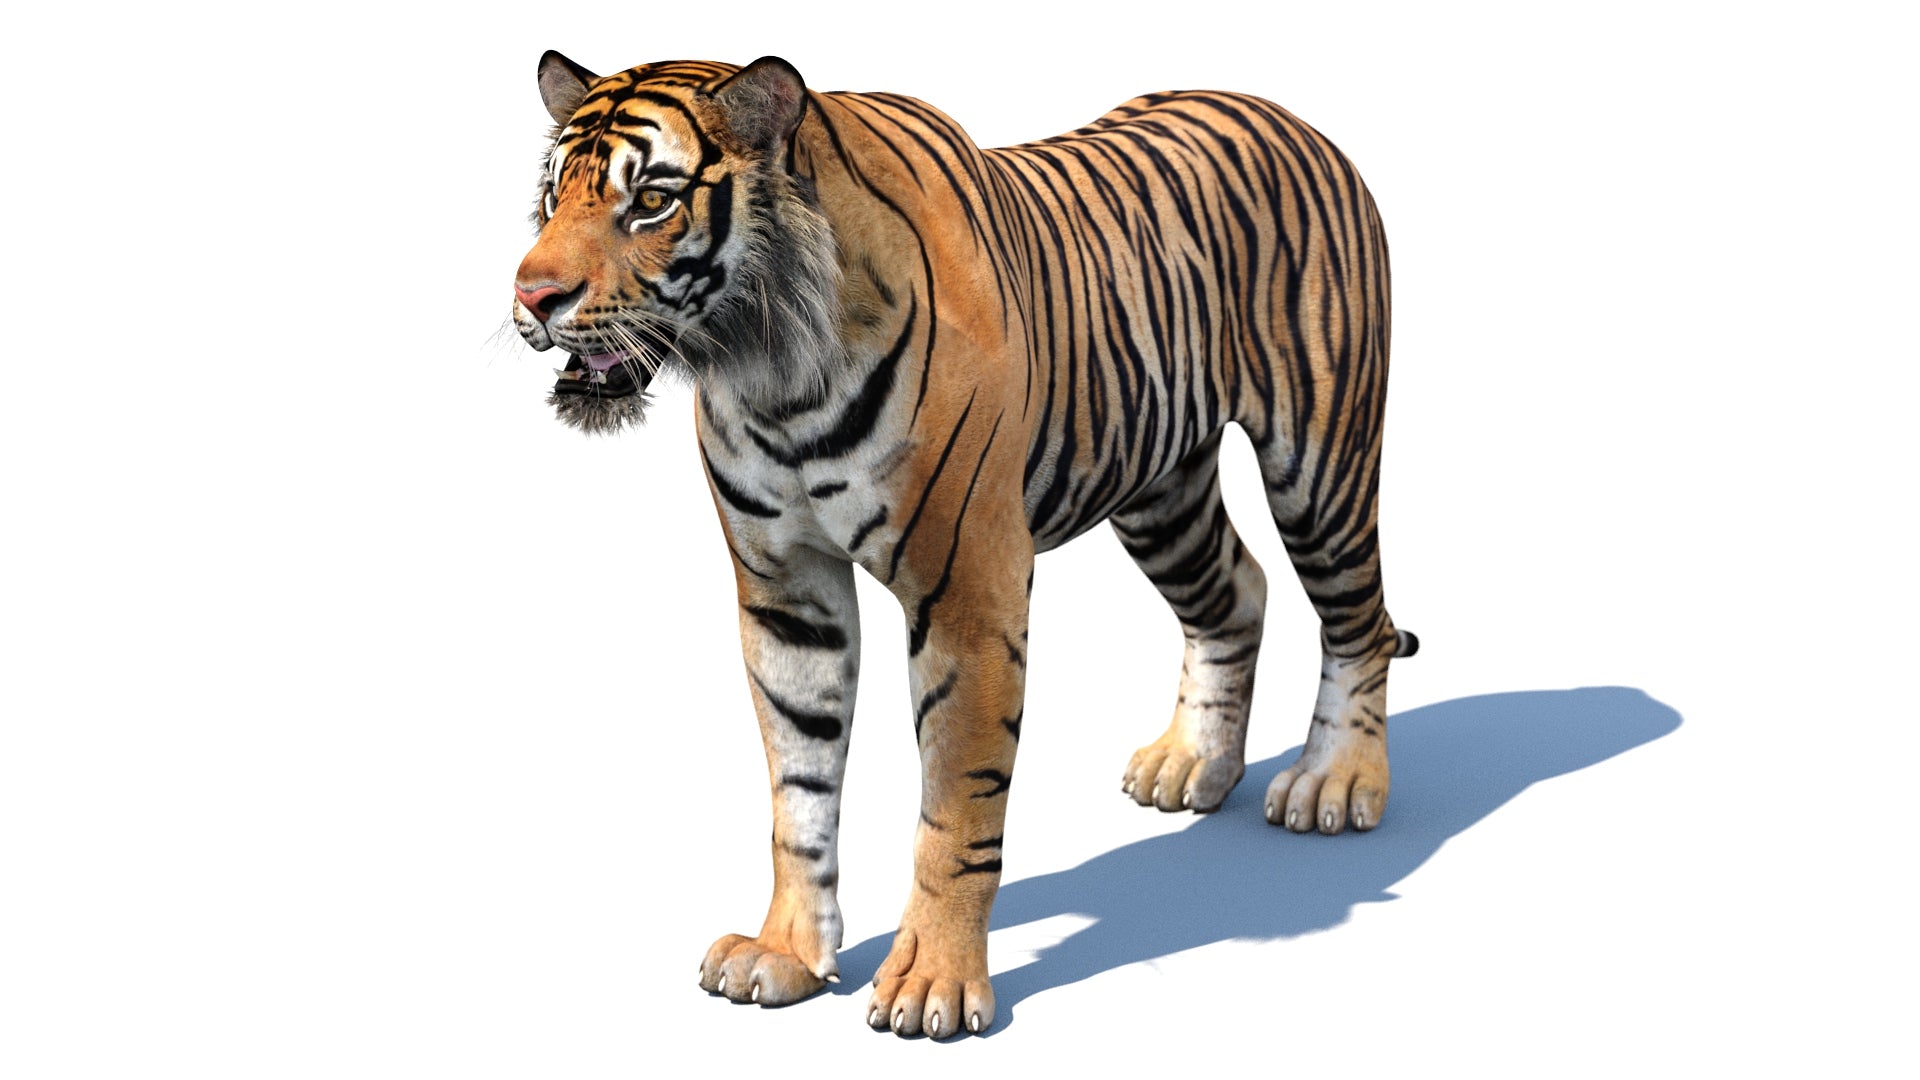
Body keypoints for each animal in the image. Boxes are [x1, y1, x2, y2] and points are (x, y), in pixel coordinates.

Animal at [510, 52, 1417, 1038]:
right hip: (1158, 486)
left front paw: (932, 984)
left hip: (1319, 456)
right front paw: (785, 954)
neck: (772, 368)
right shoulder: (788, 592)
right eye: (553, 195)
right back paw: (1194, 763)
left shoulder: (968, 594)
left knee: (1357, 619)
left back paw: (1335, 784)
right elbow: (800, 788)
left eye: (650, 202)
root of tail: (1287, 114)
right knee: (1239, 592)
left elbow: (956, 806)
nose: (531, 296)